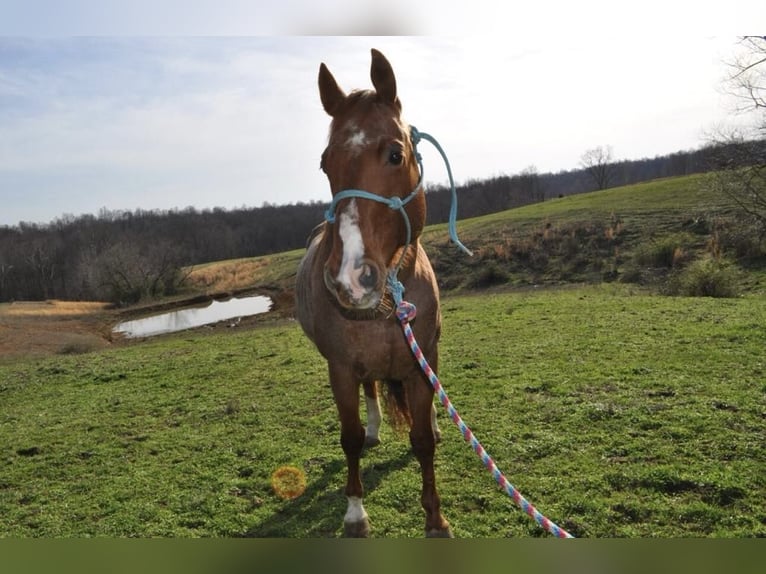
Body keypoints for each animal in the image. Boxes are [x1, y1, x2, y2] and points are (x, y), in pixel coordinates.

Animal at [292, 49, 450, 540]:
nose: (349, 277)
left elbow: (422, 441)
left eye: (395, 154)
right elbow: (350, 438)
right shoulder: (340, 369)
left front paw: (435, 518)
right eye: (325, 163)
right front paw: (355, 513)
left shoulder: (420, 362)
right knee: (371, 393)